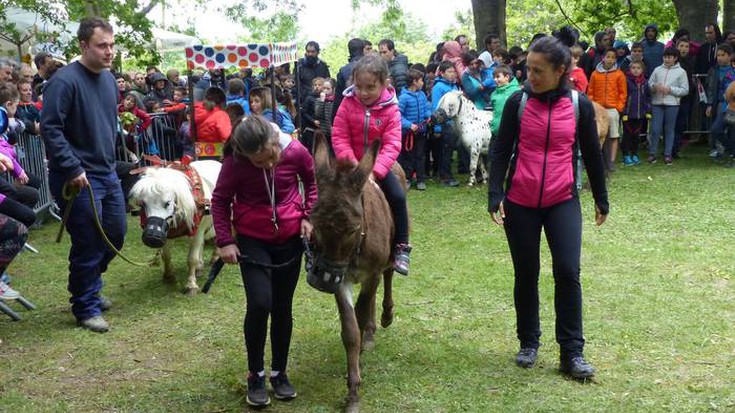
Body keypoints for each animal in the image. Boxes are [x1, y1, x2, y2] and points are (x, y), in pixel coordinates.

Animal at [130, 159, 221, 292]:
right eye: (144, 204)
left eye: (167, 203)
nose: (151, 237)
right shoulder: (166, 233)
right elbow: (166, 256)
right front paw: (168, 276)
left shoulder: (197, 230)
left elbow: (192, 258)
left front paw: (191, 284)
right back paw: (200, 267)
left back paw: (214, 257)